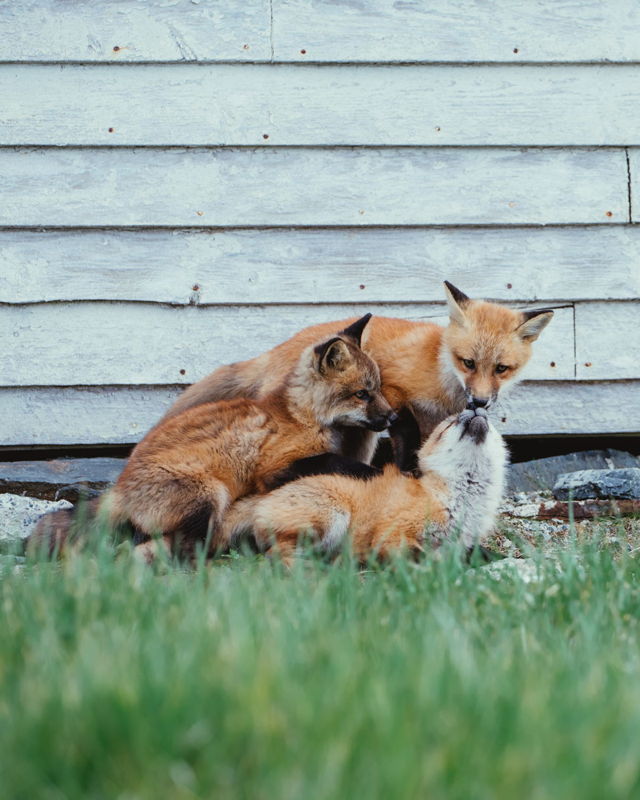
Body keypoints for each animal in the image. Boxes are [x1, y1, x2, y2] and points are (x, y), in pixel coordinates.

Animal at [29, 315, 396, 558]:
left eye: (378, 389)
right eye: (362, 394)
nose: (392, 416)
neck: (303, 415)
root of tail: (119, 488)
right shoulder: (273, 468)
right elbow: (338, 462)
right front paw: (378, 473)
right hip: (212, 494)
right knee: (180, 543)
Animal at [163, 282, 553, 472]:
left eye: (502, 369)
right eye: (468, 362)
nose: (481, 401)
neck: (440, 370)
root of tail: (276, 349)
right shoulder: (393, 391)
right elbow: (407, 433)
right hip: (362, 434)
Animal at [220, 406, 508, 566]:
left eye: (491, 427)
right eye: (449, 425)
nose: (476, 408)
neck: (460, 502)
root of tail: (264, 495)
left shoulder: (461, 543)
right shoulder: (393, 532)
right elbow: (408, 553)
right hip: (332, 516)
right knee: (276, 554)